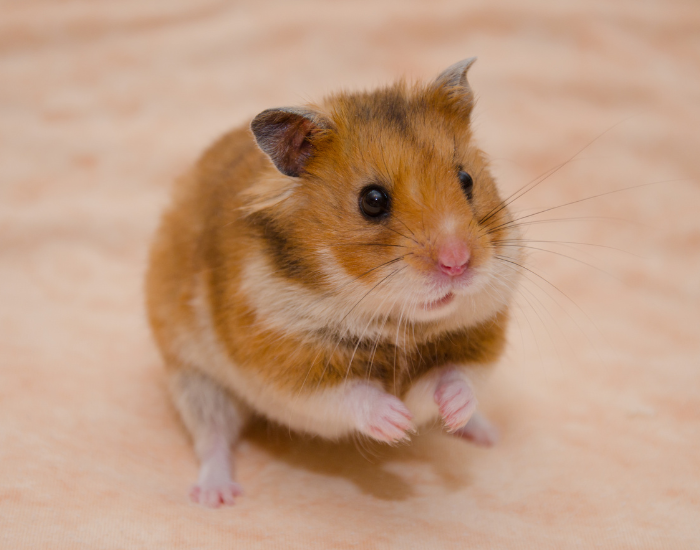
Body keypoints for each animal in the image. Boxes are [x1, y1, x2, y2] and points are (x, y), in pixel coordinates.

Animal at [146, 58, 522, 508]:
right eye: (372, 201)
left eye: (466, 180)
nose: (457, 263)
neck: (399, 323)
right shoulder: (286, 363)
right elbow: (353, 394)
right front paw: (398, 423)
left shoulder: (478, 338)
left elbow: (453, 377)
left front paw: (446, 411)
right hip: (195, 379)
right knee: (212, 438)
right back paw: (215, 497)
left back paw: (486, 433)